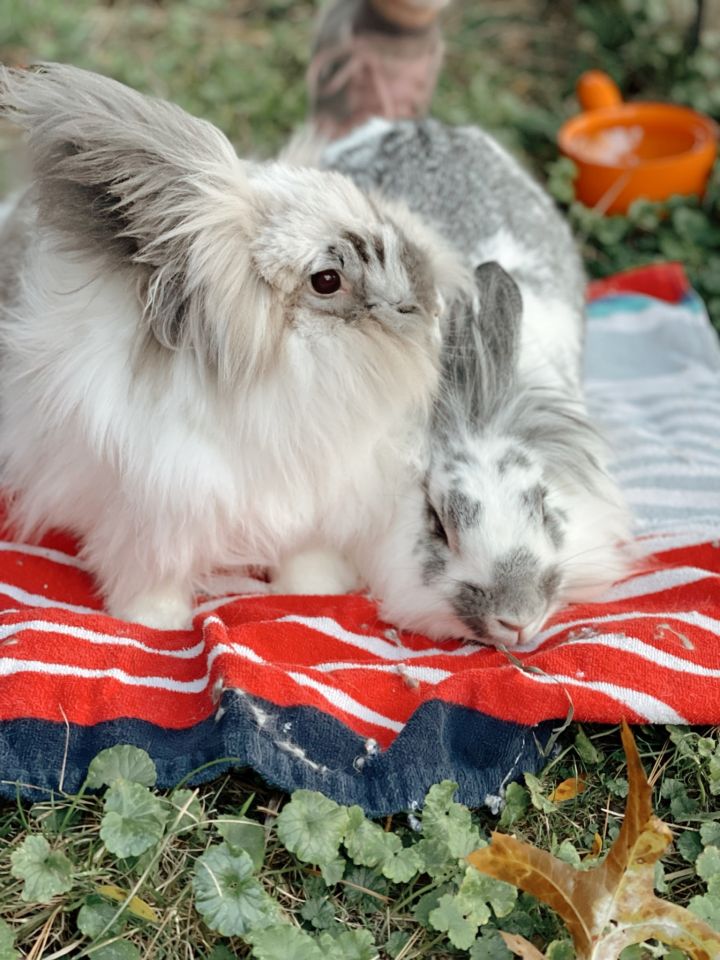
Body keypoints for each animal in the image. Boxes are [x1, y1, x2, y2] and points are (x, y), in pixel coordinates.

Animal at [0, 63, 466, 628]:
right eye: (327, 280)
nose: (433, 306)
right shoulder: (155, 519)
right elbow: (152, 577)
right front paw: (157, 621)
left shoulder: (323, 503)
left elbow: (306, 555)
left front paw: (316, 591)